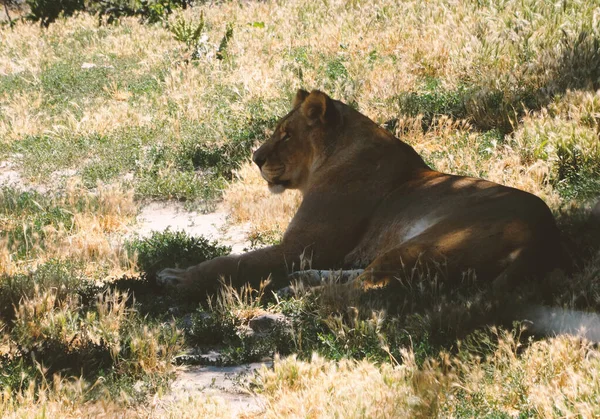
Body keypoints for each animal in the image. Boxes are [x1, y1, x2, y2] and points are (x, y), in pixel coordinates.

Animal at [156, 90, 568, 296]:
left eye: (286, 135)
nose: (255, 159)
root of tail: (546, 235)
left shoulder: (300, 247)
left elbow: (232, 262)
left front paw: (180, 276)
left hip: (427, 242)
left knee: (363, 291)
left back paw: (306, 294)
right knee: (362, 278)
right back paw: (305, 282)